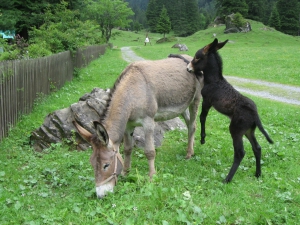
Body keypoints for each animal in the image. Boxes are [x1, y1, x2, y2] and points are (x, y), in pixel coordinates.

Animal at [188, 38, 274, 183]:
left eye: (197, 57)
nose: (188, 68)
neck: (214, 80)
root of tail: (255, 114)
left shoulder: (207, 101)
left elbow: (202, 117)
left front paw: (203, 139)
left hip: (236, 130)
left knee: (240, 152)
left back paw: (227, 179)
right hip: (248, 130)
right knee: (257, 148)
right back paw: (258, 174)